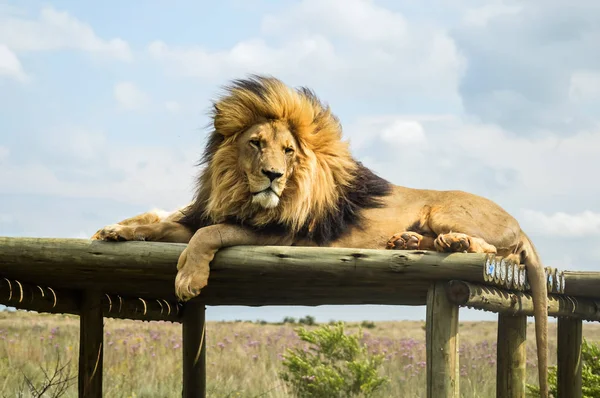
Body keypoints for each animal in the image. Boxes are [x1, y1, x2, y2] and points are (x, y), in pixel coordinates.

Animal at [92, 75, 548, 398]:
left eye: (288, 151)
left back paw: (453, 244)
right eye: (255, 144)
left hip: (444, 210)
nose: (273, 175)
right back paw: (410, 243)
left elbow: (208, 232)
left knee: (499, 253)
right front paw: (115, 230)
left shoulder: (280, 236)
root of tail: (520, 223)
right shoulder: (210, 214)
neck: (239, 190)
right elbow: (162, 222)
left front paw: (189, 278)